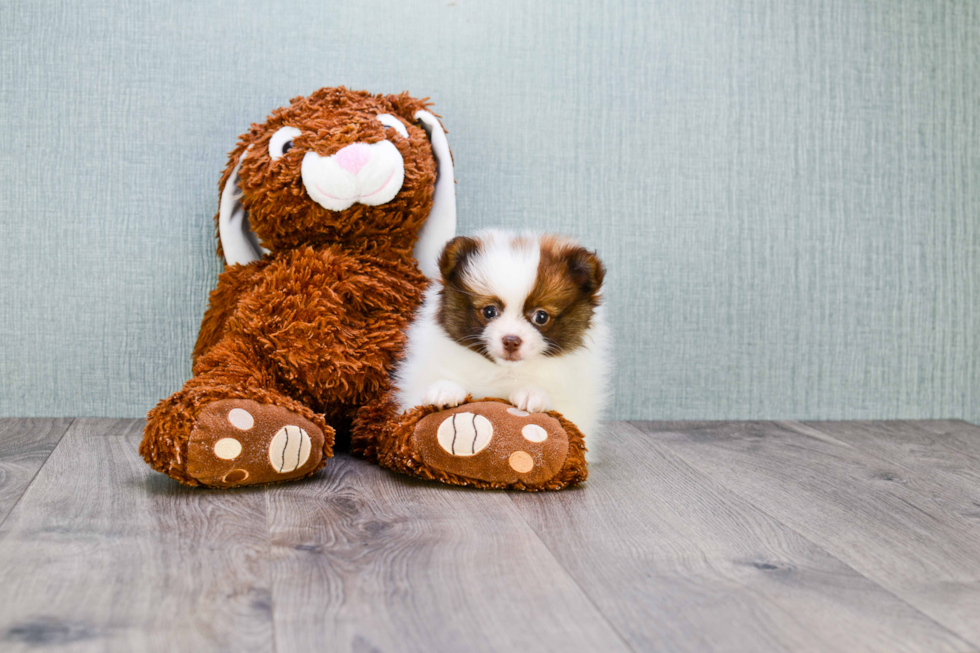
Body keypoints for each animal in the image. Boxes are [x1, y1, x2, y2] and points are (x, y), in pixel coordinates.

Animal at [392, 229, 608, 458]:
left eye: (541, 316)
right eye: (489, 311)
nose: (511, 340)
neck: (505, 371)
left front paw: (532, 393)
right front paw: (444, 390)